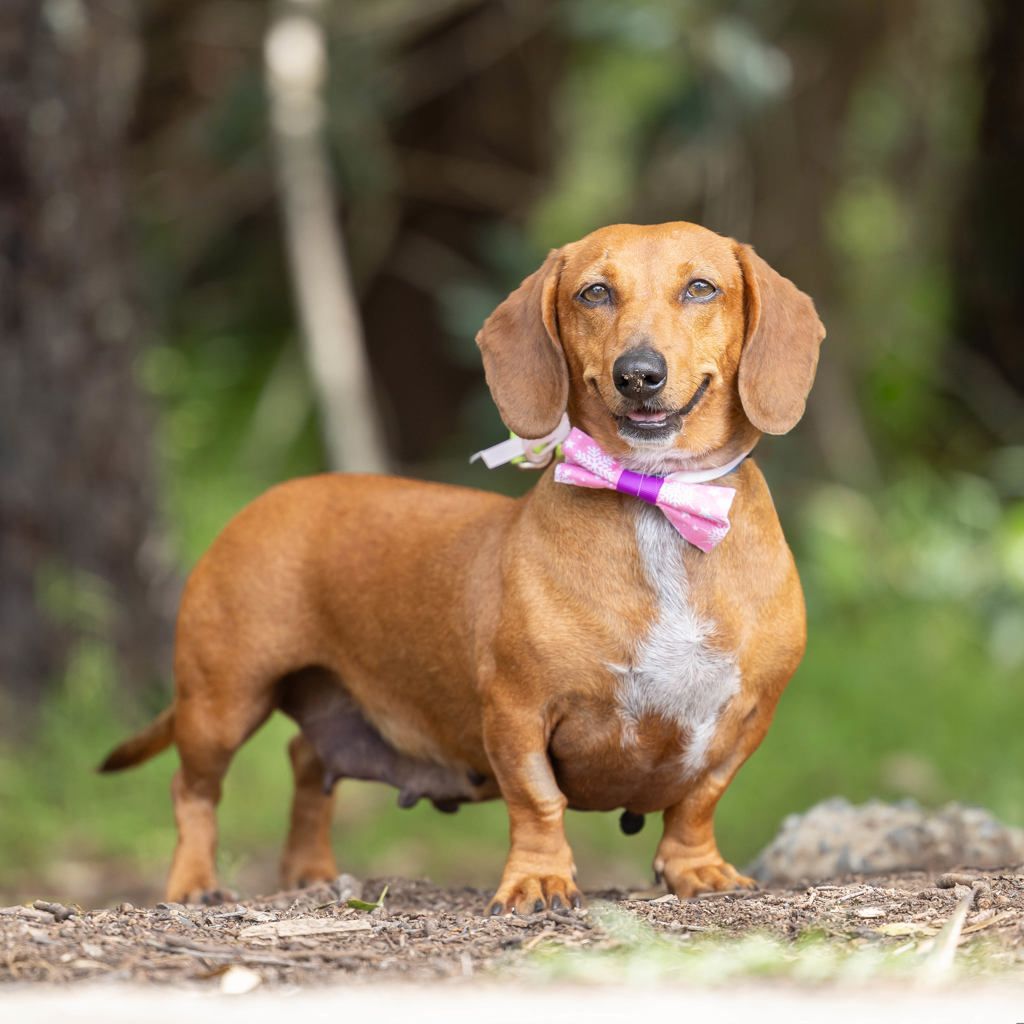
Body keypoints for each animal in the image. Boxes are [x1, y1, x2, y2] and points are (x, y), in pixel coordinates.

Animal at [101, 221, 824, 913]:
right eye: (594, 293)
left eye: (701, 288)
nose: (638, 373)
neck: (658, 499)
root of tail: (265, 502)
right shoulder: (517, 712)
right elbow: (538, 802)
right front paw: (537, 881)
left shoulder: (745, 719)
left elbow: (697, 800)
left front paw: (695, 869)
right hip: (221, 702)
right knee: (192, 788)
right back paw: (195, 883)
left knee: (306, 761)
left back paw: (310, 872)